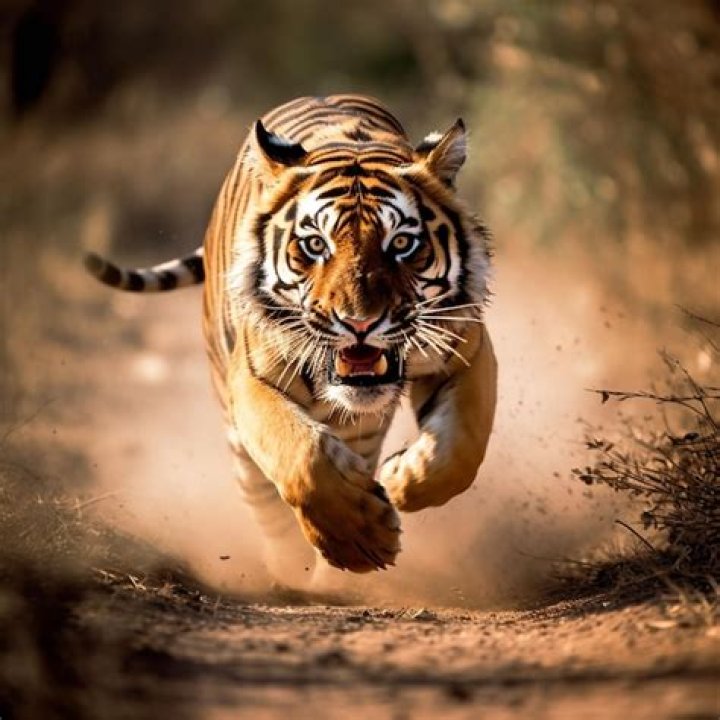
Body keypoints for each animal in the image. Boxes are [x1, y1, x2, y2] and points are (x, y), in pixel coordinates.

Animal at [85, 94, 497, 580]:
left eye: (401, 244)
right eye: (316, 245)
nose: (360, 322)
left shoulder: (465, 350)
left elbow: (463, 447)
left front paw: (401, 481)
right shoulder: (252, 378)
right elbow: (302, 455)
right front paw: (358, 540)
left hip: (364, 427)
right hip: (233, 421)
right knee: (261, 495)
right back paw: (289, 567)